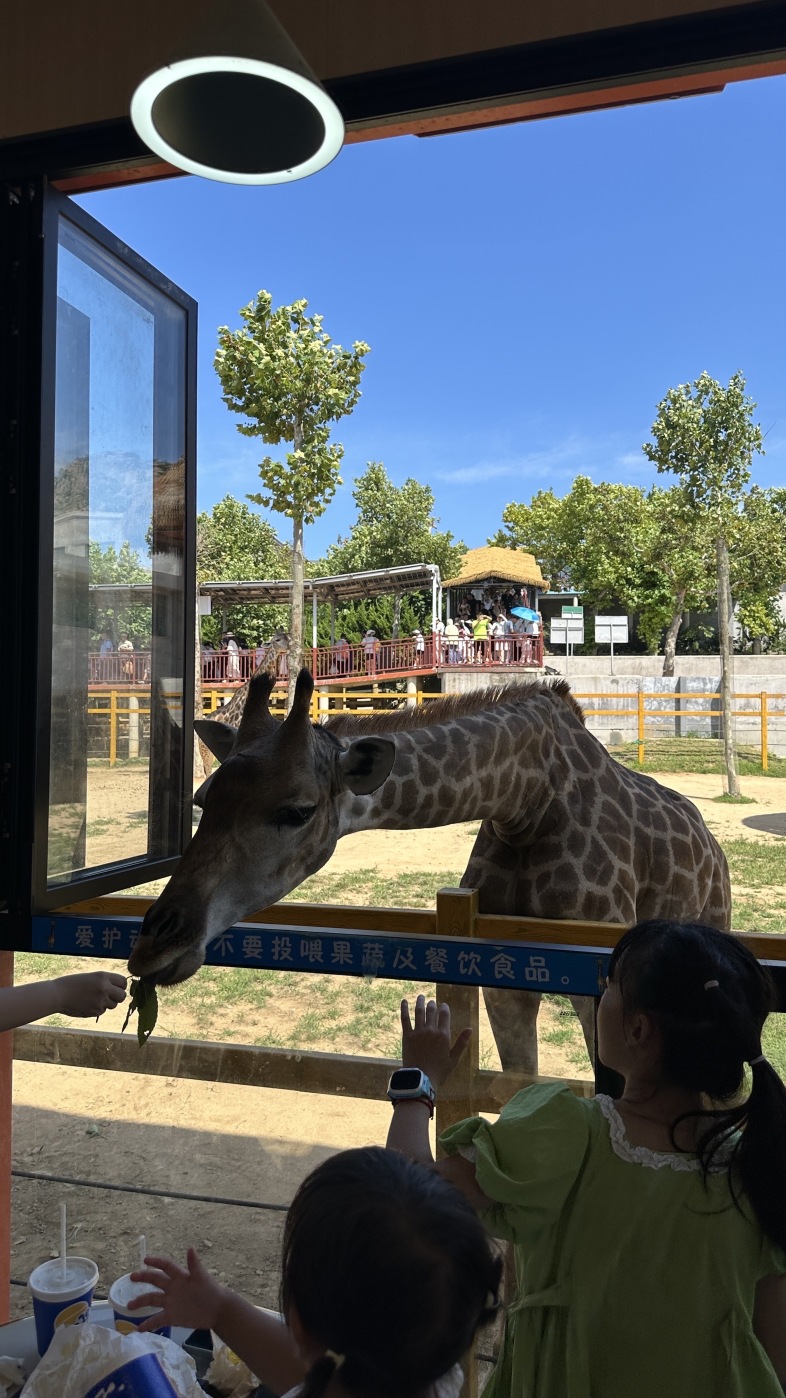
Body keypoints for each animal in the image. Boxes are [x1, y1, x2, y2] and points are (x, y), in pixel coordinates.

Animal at [129, 669, 731, 1075]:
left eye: (297, 810)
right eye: (203, 798)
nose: (154, 944)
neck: (526, 800)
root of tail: (712, 845)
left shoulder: (597, 980)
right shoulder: (504, 976)